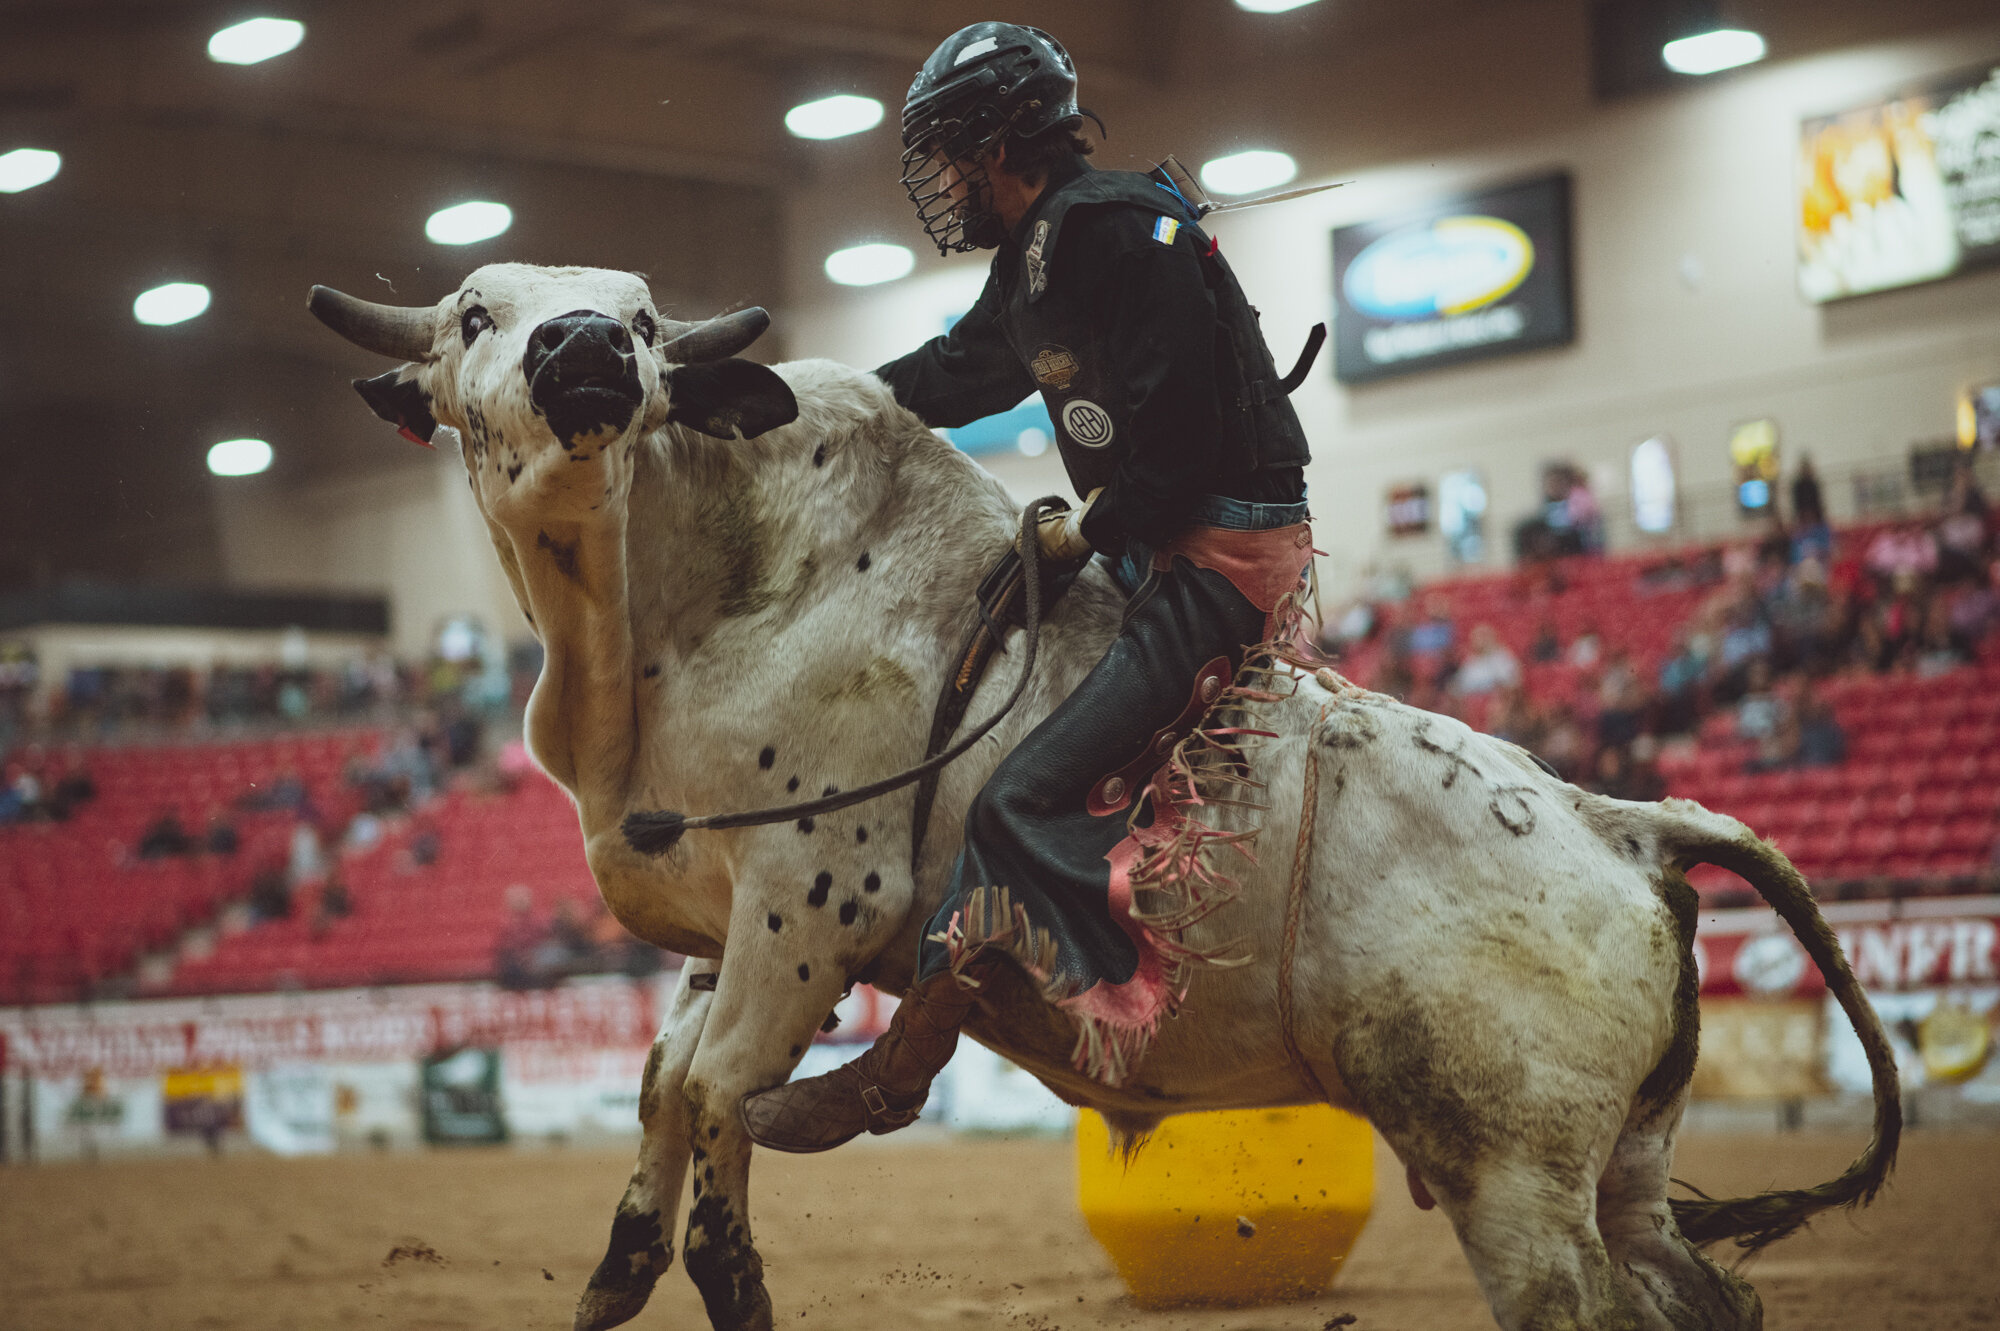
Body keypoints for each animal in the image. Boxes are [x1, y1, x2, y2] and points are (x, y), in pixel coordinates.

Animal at [304, 263, 1896, 1327]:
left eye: (638, 319)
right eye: (473, 313)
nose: (580, 349)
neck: (696, 603)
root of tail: (1620, 822)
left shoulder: (810, 901)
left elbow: (716, 1089)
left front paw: (731, 1268)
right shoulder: (719, 915)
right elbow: (660, 1078)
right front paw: (625, 1261)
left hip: (1511, 1171)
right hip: (1618, 1166)